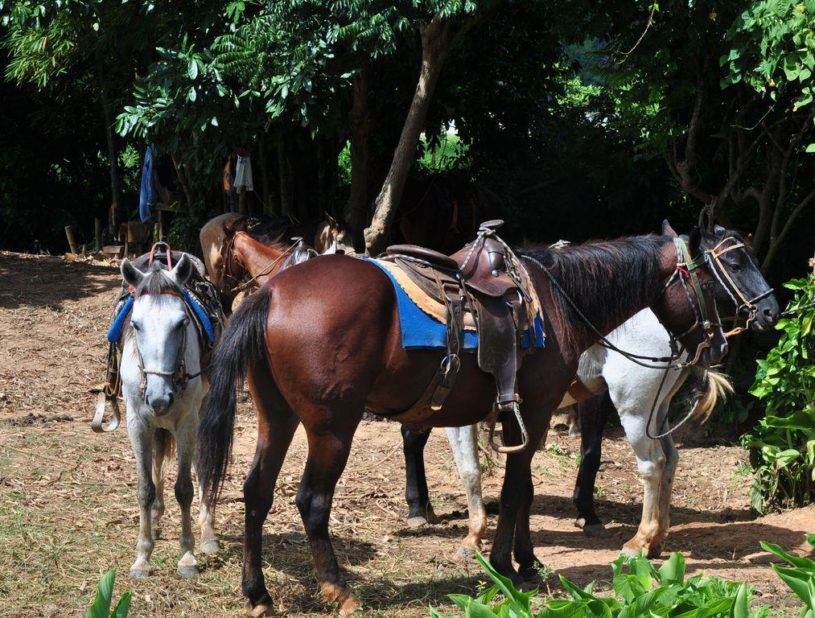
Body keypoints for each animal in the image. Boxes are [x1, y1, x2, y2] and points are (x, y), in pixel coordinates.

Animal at [118, 253, 222, 579]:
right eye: (135, 324)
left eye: (182, 323)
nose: (159, 397)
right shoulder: (137, 423)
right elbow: (144, 488)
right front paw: (142, 557)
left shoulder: (187, 422)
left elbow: (184, 488)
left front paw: (187, 555)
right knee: (158, 459)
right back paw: (156, 518)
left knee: (202, 462)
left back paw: (208, 533)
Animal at [197, 223, 731, 615]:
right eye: (714, 277)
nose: (721, 344)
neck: (558, 303)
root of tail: (272, 295)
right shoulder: (532, 412)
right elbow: (511, 491)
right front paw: (503, 566)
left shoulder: (521, 417)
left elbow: (522, 491)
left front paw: (525, 562)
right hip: (331, 428)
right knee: (311, 501)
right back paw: (337, 590)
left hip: (278, 417)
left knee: (257, 493)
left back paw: (258, 593)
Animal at [400, 225, 778, 559]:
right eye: (734, 264)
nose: (770, 311)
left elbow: (470, 469)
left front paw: (471, 535)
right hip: (656, 409)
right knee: (670, 459)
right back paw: (656, 538)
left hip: (635, 409)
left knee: (652, 464)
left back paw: (639, 541)